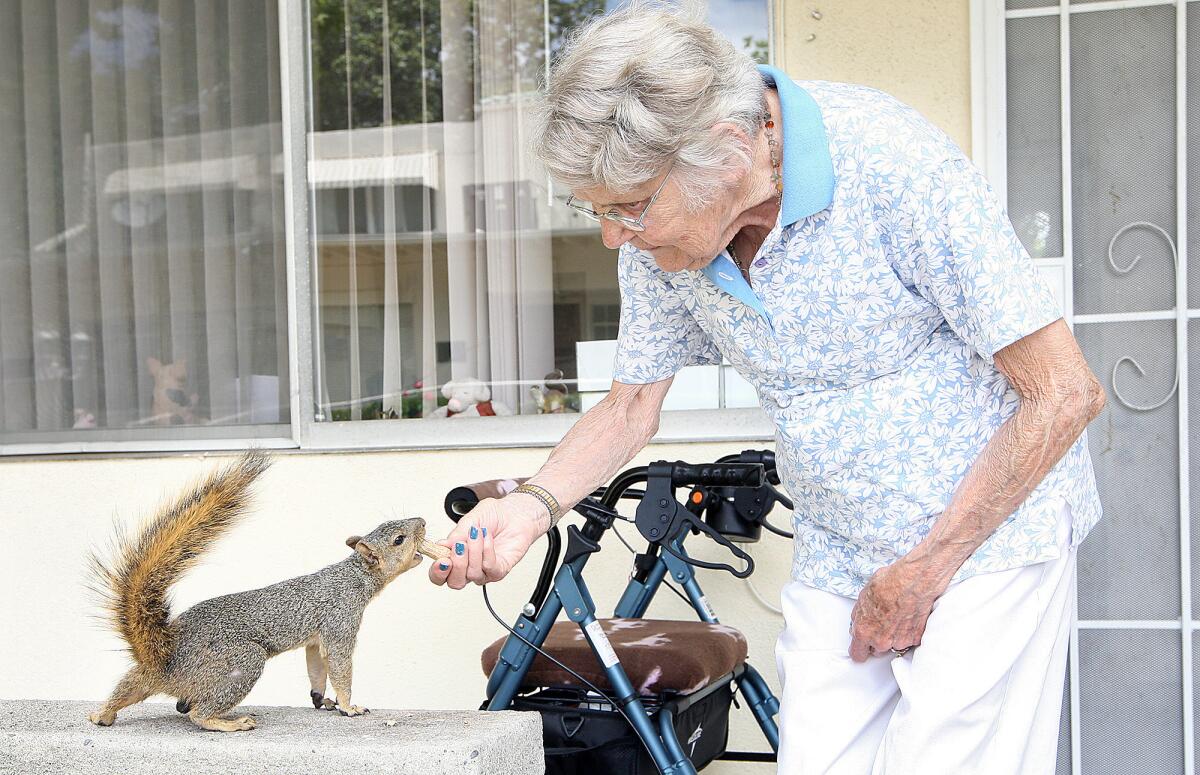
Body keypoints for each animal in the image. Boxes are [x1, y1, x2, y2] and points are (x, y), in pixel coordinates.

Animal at [85, 453, 451, 734]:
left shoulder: (315, 639)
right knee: (199, 715)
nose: (422, 521)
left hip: (148, 676)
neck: (354, 576)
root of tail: (164, 659)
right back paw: (229, 722)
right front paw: (349, 705)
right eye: (399, 540)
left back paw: (102, 714)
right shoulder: (339, 620)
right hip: (241, 662)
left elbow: (316, 666)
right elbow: (340, 664)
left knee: (130, 686)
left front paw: (321, 698)